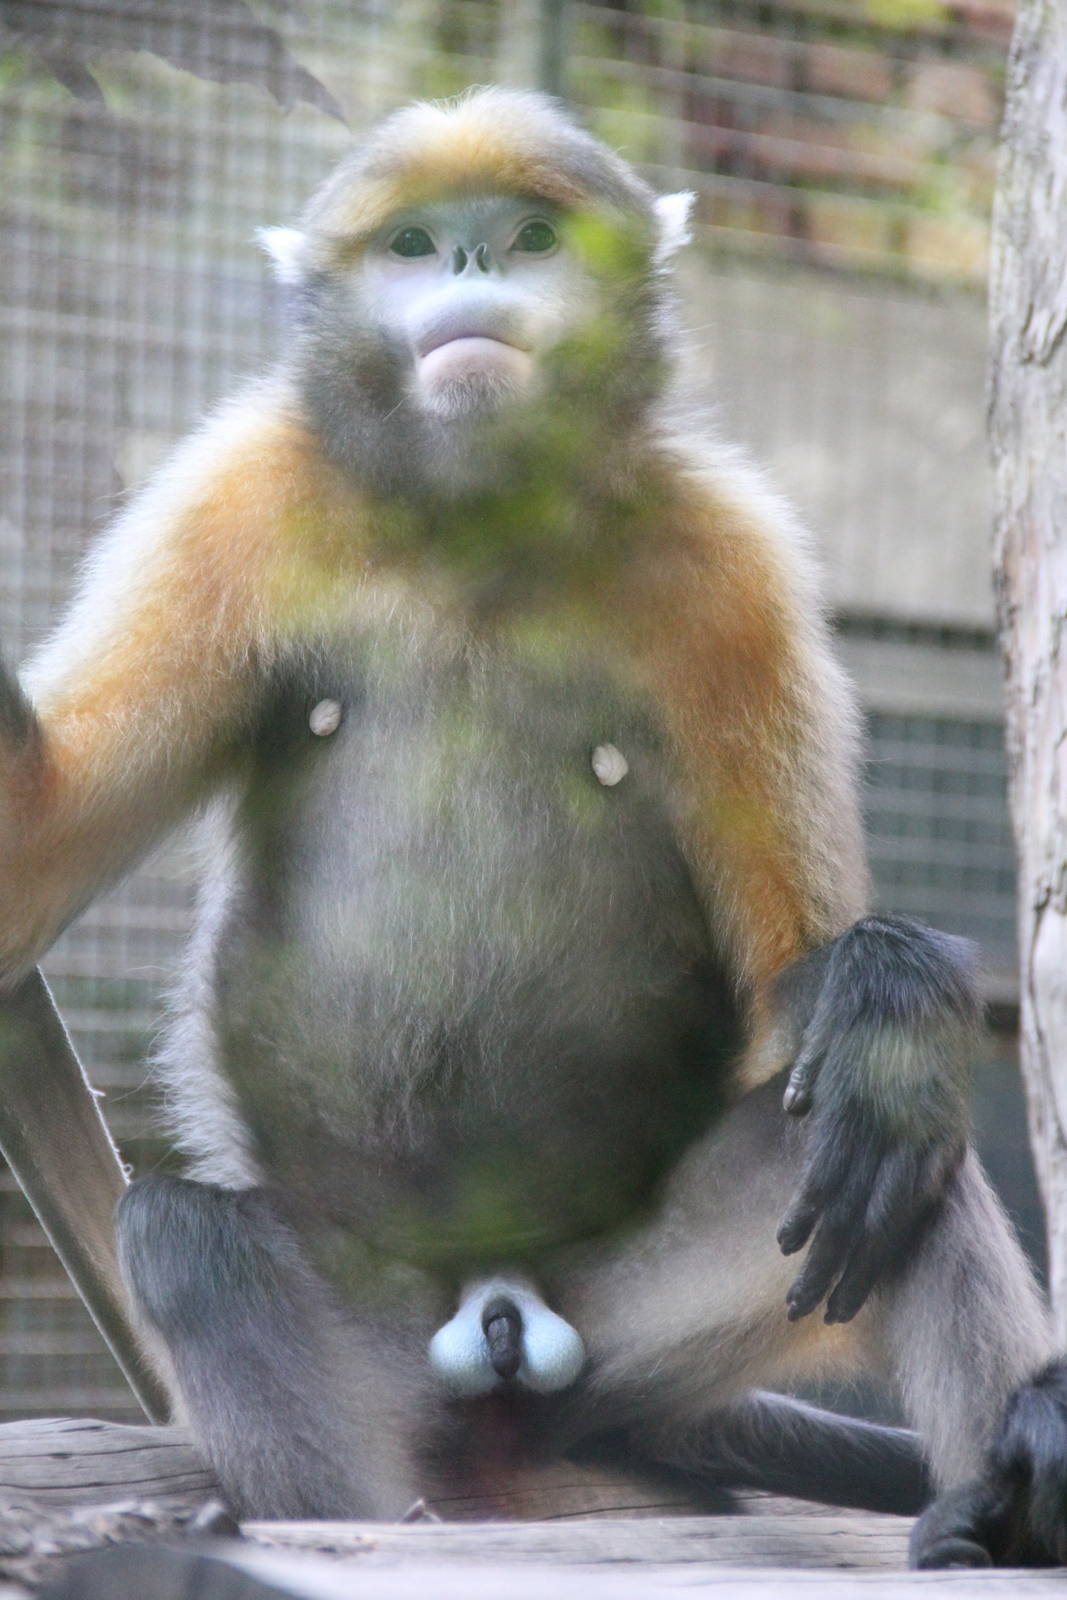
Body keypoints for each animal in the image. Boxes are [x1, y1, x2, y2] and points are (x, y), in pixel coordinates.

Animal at [2, 87, 1066, 1565]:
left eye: (527, 238)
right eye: (410, 243)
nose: (466, 266)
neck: (474, 521)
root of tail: (497, 1316)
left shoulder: (728, 561)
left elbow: (802, 974)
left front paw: (886, 982)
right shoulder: (228, 500)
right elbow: (36, 863)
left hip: (628, 1324)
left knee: (889, 1143)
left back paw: (1000, 1496)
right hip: (386, 1335)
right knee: (184, 1237)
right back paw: (361, 1527)